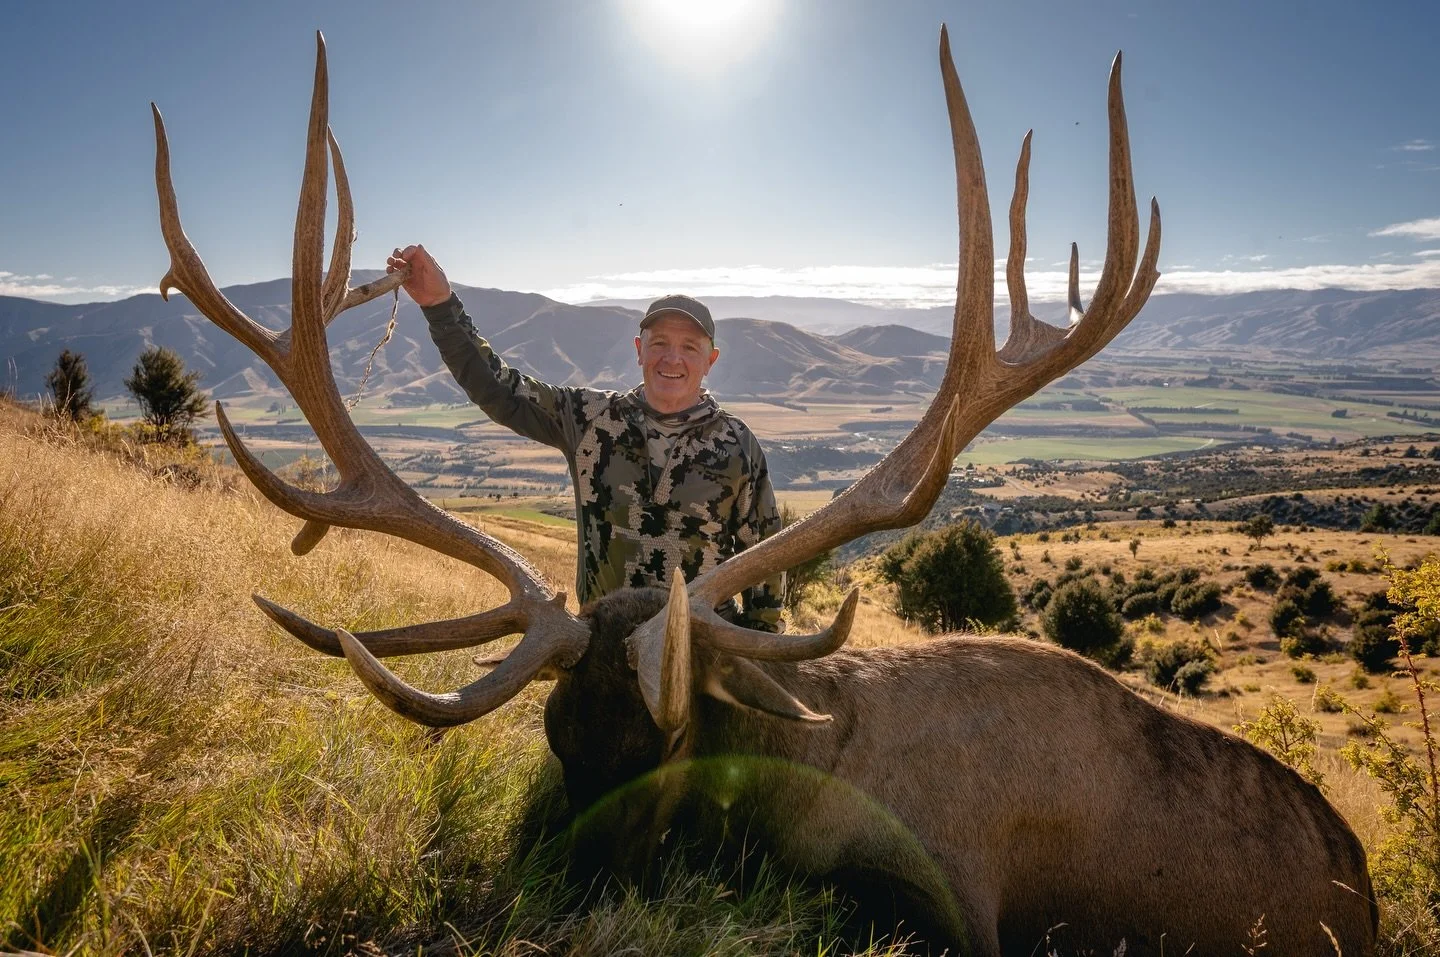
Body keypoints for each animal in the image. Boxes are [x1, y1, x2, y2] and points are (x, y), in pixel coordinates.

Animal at [150, 27, 1377, 957]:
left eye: (665, 746)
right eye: (555, 739)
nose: (559, 900)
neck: (782, 780)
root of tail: (1359, 876)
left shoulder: (956, 901)